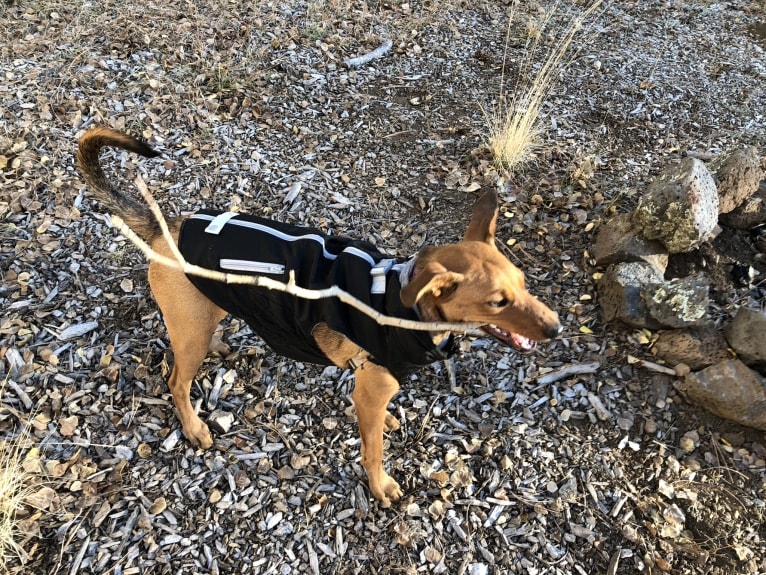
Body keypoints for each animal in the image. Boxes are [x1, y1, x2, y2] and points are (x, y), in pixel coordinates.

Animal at [78, 127, 564, 508]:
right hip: (188, 338)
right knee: (176, 380)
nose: (556, 328)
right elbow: (373, 451)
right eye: (498, 302)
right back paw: (194, 427)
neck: (405, 305)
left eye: (524, 284)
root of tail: (167, 228)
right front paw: (381, 486)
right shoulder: (369, 390)